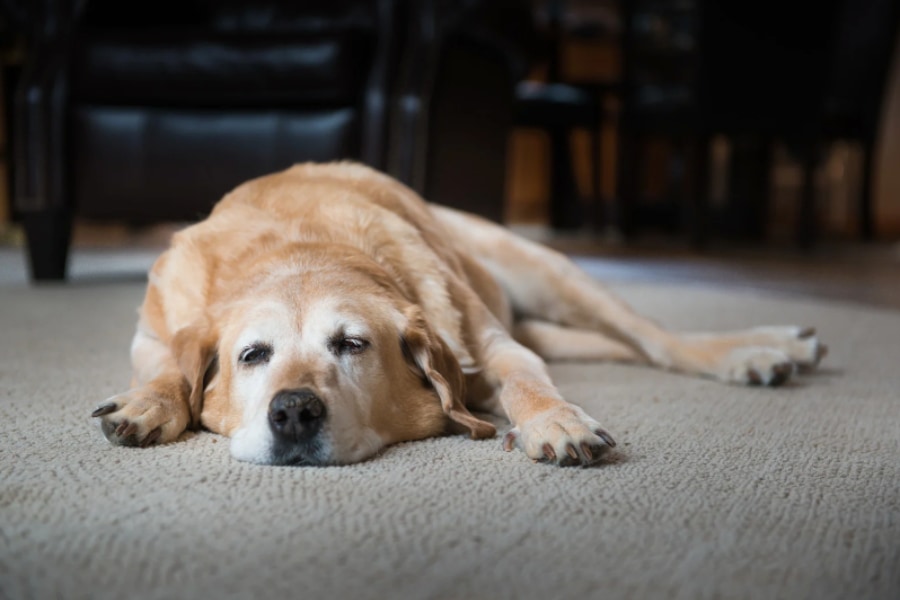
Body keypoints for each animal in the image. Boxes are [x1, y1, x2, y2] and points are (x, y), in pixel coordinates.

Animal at [93, 162, 828, 466]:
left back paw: (756, 351)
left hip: (548, 272)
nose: (294, 411)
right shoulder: (151, 332)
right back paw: (781, 347)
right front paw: (148, 404)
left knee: (654, 340)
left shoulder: (493, 346)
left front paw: (555, 421)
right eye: (252, 355)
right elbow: (167, 369)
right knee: (618, 347)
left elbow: (525, 381)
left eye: (352, 344)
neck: (300, 246)